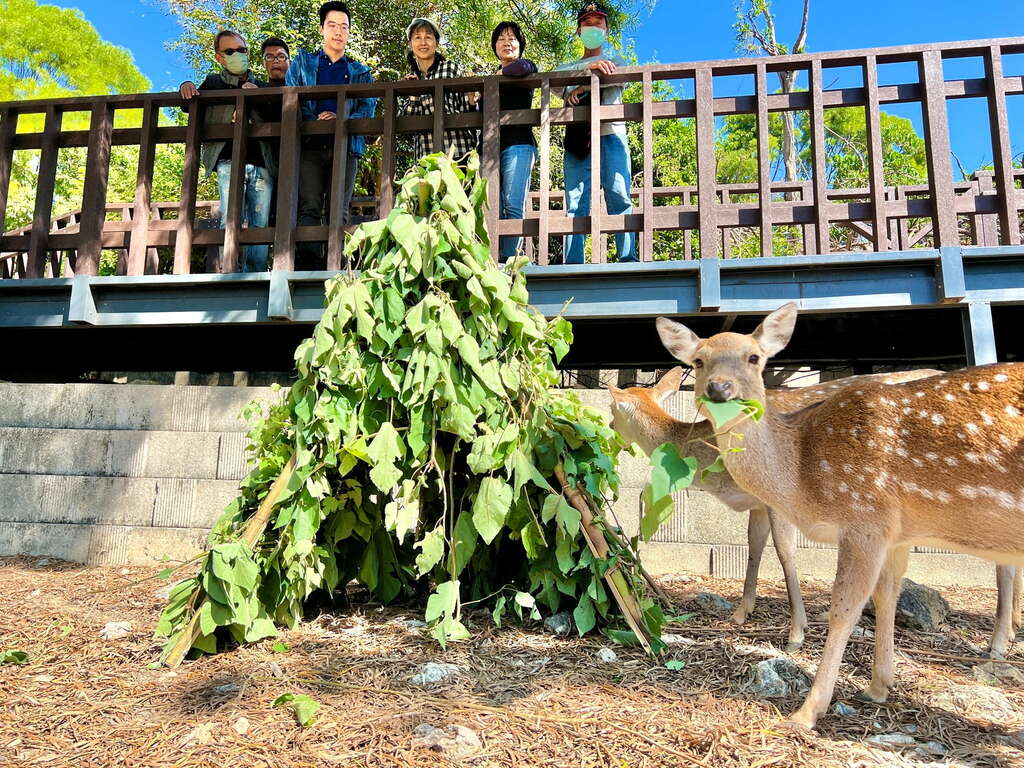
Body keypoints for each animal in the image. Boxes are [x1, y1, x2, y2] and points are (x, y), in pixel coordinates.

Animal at [608, 365, 945, 652]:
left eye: (612, 409)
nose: (609, 425)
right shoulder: (759, 503)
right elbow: (754, 545)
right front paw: (741, 613)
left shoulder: (781, 497)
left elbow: (784, 552)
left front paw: (796, 634)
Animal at [655, 302, 1024, 730]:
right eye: (699, 360)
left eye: (754, 357)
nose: (719, 388)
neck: (803, 476)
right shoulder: (896, 532)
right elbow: (886, 595)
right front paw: (879, 686)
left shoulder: (866, 515)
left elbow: (844, 609)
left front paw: (807, 711)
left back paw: (998, 645)